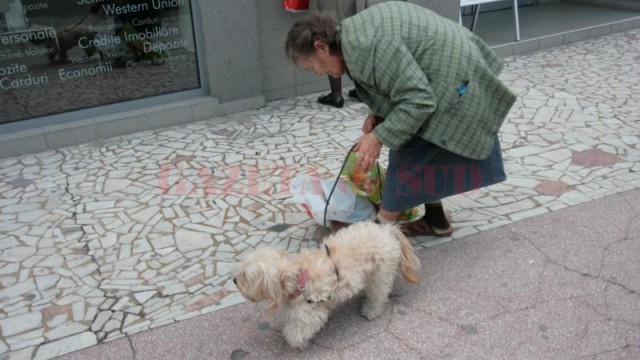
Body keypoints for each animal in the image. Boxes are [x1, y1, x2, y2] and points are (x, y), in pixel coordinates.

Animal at [232, 222, 422, 348]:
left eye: (246, 276)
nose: (234, 280)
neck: (297, 277)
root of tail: (387, 230)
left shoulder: (310, 312)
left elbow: (298, 329)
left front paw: (293, 339)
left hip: (380, 276)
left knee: (379, 295)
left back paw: (372, 310)